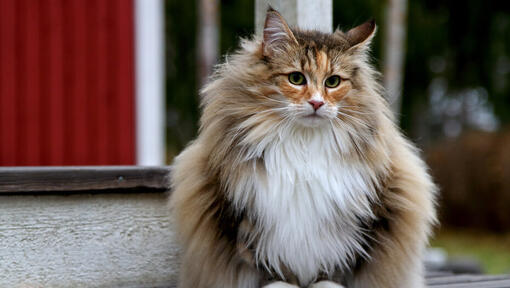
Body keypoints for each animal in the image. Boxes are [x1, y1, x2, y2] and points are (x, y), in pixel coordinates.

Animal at [169, 6, 436, 288]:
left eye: (332, 82)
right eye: (296, 78)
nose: (317, 103)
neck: (304, 145)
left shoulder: (361, 225)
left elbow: (332, 274)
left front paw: (324, 284)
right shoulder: (245, 224)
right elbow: (272, 274)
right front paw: (282, 284)